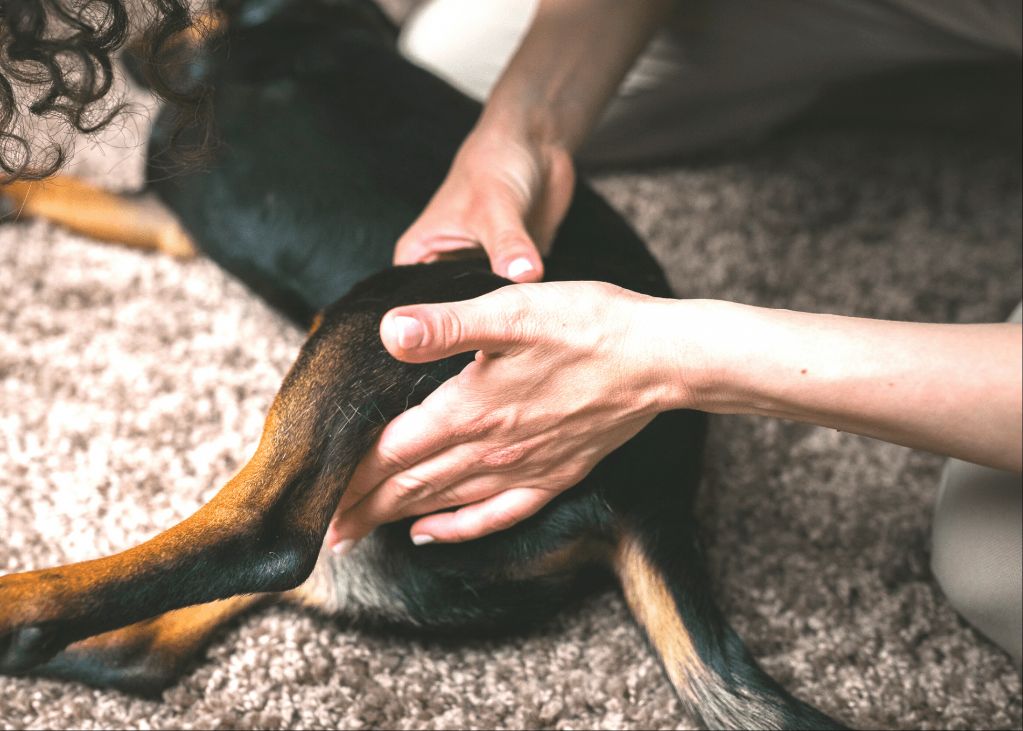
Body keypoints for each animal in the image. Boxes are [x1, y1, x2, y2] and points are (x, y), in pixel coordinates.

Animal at [0, 2, 847, 727]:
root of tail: (658, 494)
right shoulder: (164, 206)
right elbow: (45, 186)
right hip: (387, 546)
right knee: (146, 648)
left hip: (389, 309)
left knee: (263, 536)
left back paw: (21, 601)